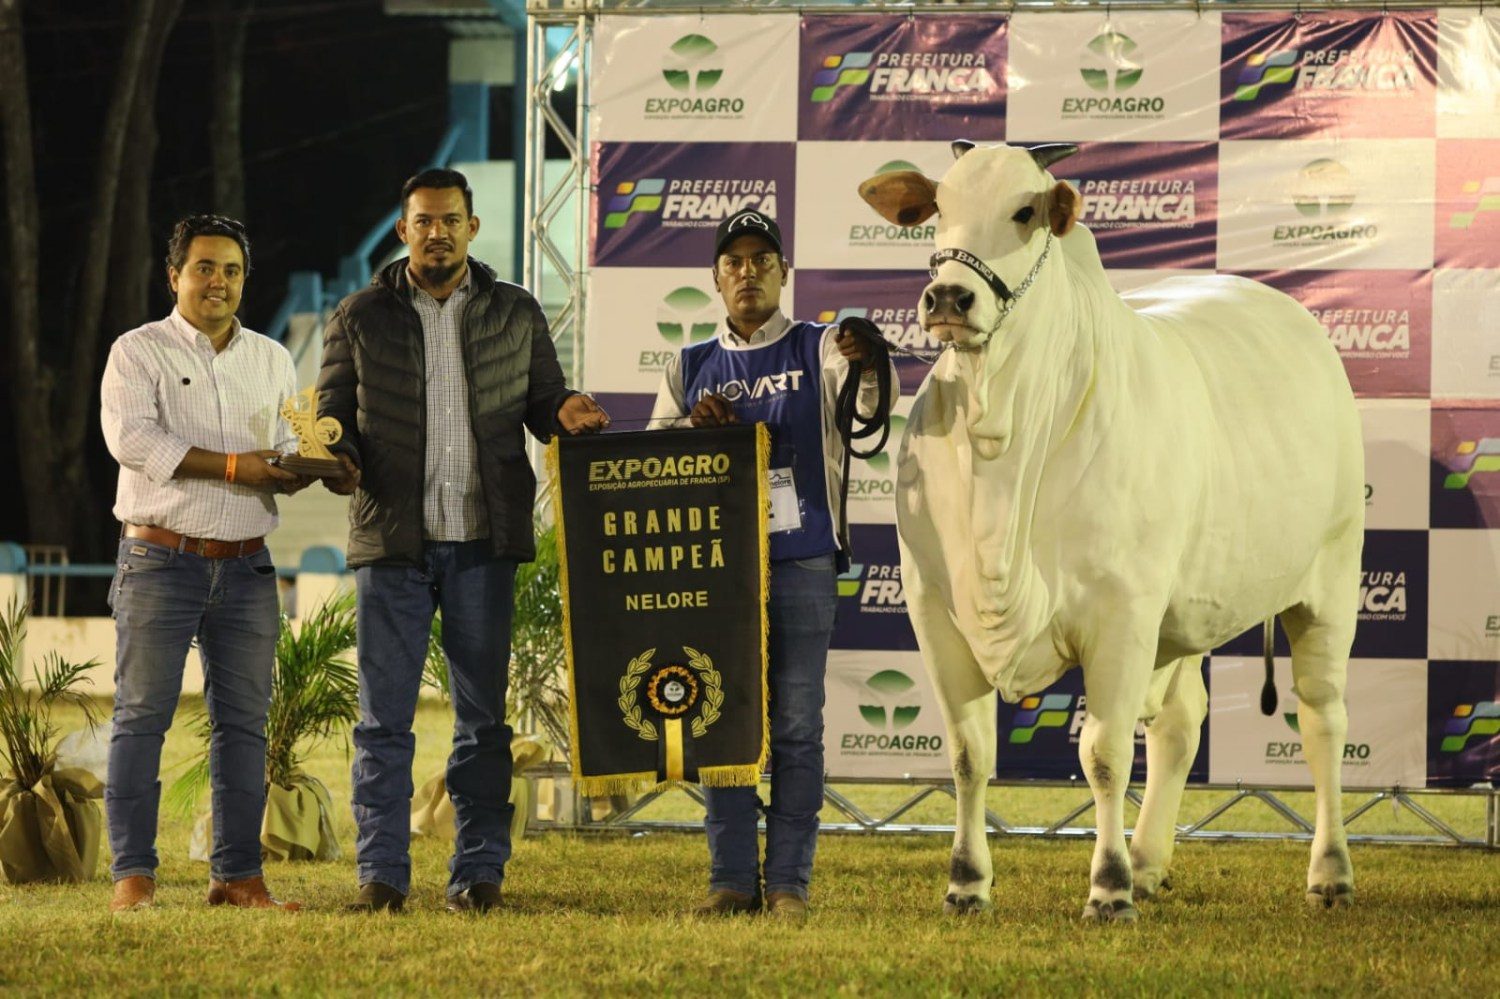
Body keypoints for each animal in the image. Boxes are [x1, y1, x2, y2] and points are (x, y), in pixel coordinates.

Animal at [864, 140, 1368, 918]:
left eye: (1025, 211)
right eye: (939, 207)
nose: (948, 298)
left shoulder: (1121, 613)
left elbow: (1102, 754)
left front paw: (1107, 887)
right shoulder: (933, 611)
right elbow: (969, 753)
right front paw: (967, 881)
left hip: (1330, 583)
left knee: (1323, 722)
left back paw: (1331, 871)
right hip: (1182, 614)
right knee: (1181, 721)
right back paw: (1151, 860)